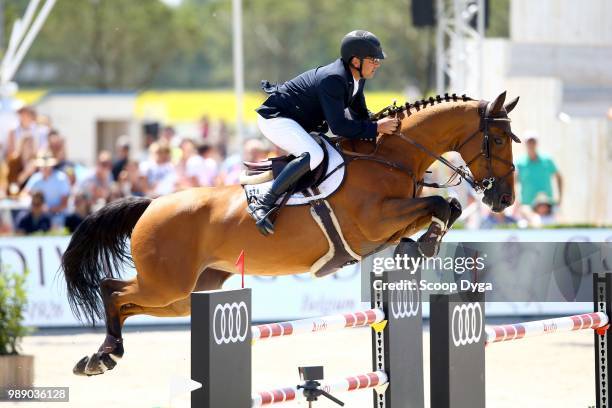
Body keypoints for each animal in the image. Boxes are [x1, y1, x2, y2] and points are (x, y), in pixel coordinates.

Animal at [63, 91, 520, 374]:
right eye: (498, 139)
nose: (505, 199)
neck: (391, 155)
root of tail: (152, 204)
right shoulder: (375, 220)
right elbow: (440, 204)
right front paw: (424, 244)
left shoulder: (389, 223)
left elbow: (447, 206)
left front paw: (419, 244)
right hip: (166, 283)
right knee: (112, 290)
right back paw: (102, 356)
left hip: (186, 293)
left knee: (126, 302)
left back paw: (104, 354)